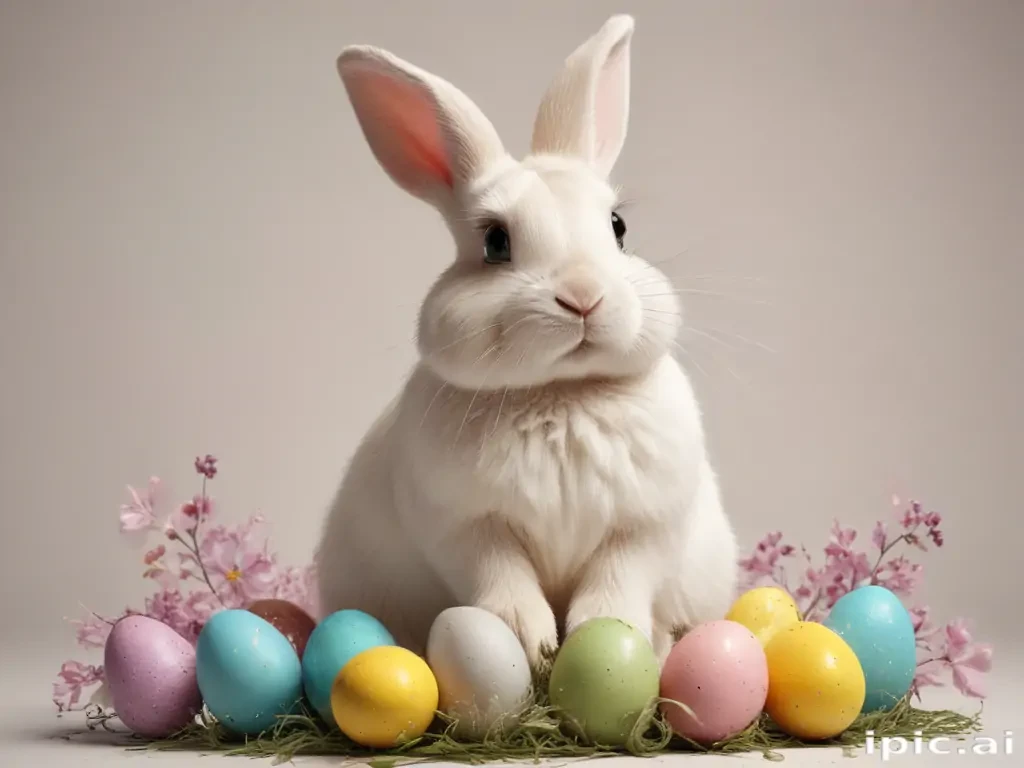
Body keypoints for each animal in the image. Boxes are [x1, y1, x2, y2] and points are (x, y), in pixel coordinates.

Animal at [315, 14, 739, 672]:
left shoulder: (643, 526)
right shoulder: (467, 528)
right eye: (495, 243)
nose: (584, 296)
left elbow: (617, 581)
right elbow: (503, 582)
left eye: (618, 227)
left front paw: (603, 636)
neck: (561, 392)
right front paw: (529, 643)